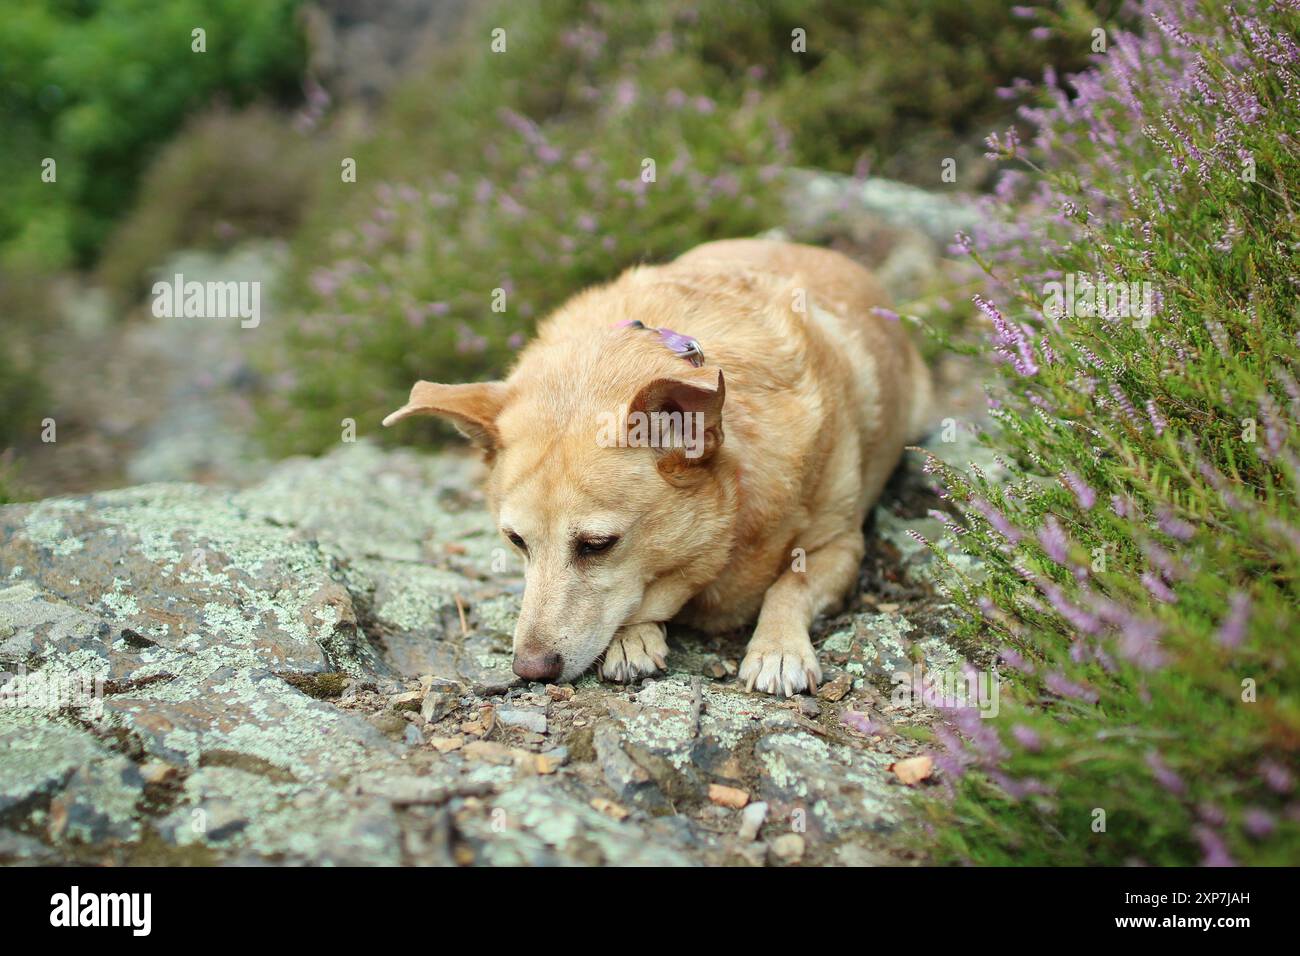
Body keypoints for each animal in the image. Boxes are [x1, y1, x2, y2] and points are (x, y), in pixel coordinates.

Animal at [379, 240, 930, 697]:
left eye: (597, 545)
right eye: (516, 541)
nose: (530, 671)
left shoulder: (841, 544)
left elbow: (790, 583)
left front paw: (778, 648)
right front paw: (633, 637)